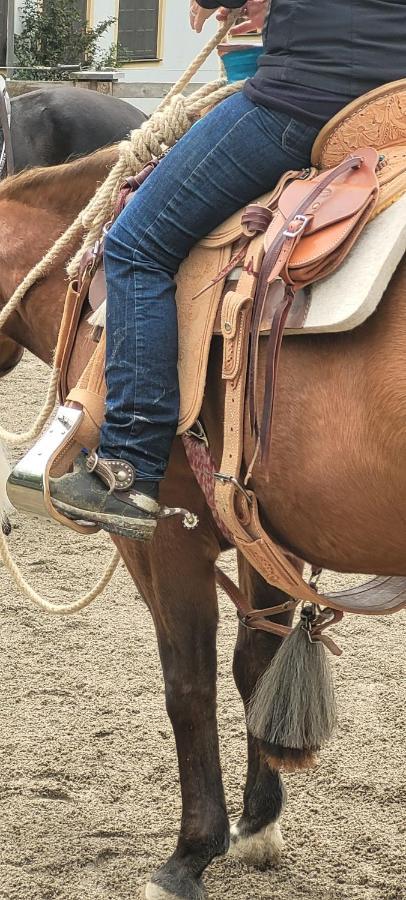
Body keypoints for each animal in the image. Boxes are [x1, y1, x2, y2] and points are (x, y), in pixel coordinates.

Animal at [0, 144, 404, 896]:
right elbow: (255, 663)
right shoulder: (269, 531)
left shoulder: (161, 539)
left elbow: (188, 683)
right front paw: (258, 821)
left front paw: (190, 851)